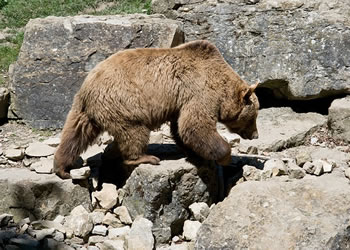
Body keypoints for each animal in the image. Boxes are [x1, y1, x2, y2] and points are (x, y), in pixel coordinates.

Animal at [53, 40, 258, 179]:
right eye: (253, 116)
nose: (255, 134)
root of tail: (88, 84)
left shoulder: (179, 102)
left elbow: (181, 130)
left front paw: (196, 154)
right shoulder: (199, 92)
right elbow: (194, 126)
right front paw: (225, 157)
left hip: (84, 110)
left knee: (75, 134)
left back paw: (61, 167)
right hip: (123, 102)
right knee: (134, 132)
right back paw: (145, 157)